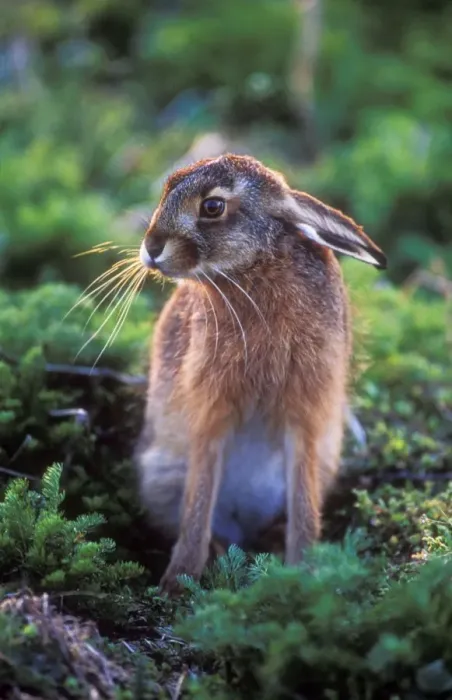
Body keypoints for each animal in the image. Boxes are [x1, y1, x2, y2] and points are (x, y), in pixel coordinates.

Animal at [134, 154, 386, 595]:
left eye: (212, 207)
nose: (151, 248)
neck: (254, 268)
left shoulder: (305, 413)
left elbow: (303, 499)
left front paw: (305, 573)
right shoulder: (210, 410)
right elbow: (199, 496)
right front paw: (178, 581)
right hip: (161, 473)